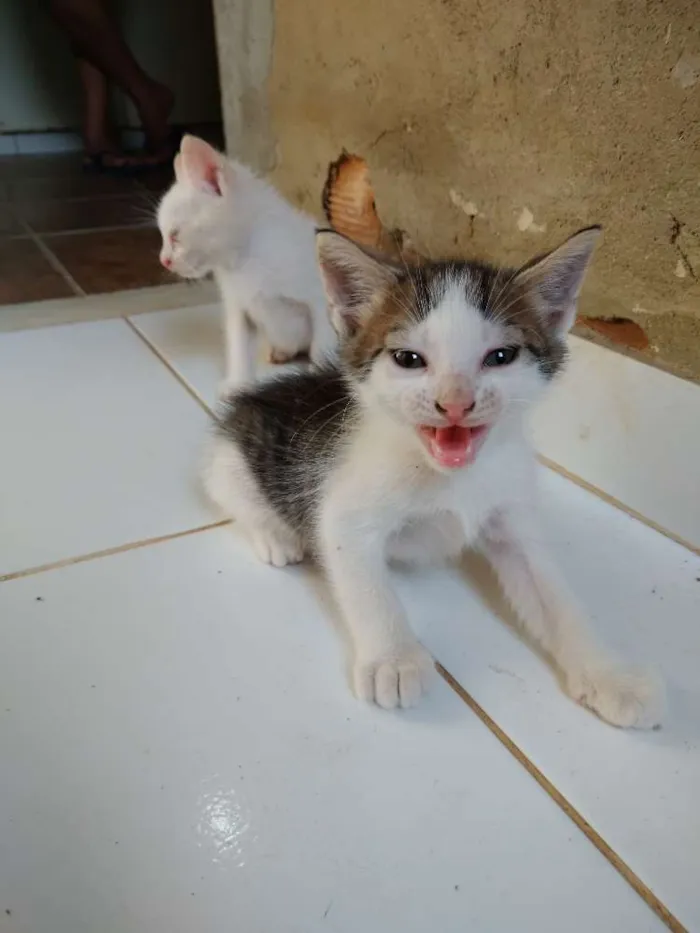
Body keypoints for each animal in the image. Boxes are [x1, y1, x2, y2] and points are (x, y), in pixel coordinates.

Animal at [157, 135, 336, 390]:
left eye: (175, 235)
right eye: (164, 235)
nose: (164, 260)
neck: (245, 262)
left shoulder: (321, 299)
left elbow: (322, 344)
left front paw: (320, 377)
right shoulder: (239, 307)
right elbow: (238, 346)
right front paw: (238, 385)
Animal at [204, 228, 668, 728]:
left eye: (501, 356)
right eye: (409, 359)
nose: (456, 403)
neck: (447, 476)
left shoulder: (512, 516)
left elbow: (558, 598)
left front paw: (611, 675)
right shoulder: (343, 513)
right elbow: (368, 586)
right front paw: (393, 658)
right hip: (234, 456)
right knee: (229, 491)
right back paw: (276, 536)